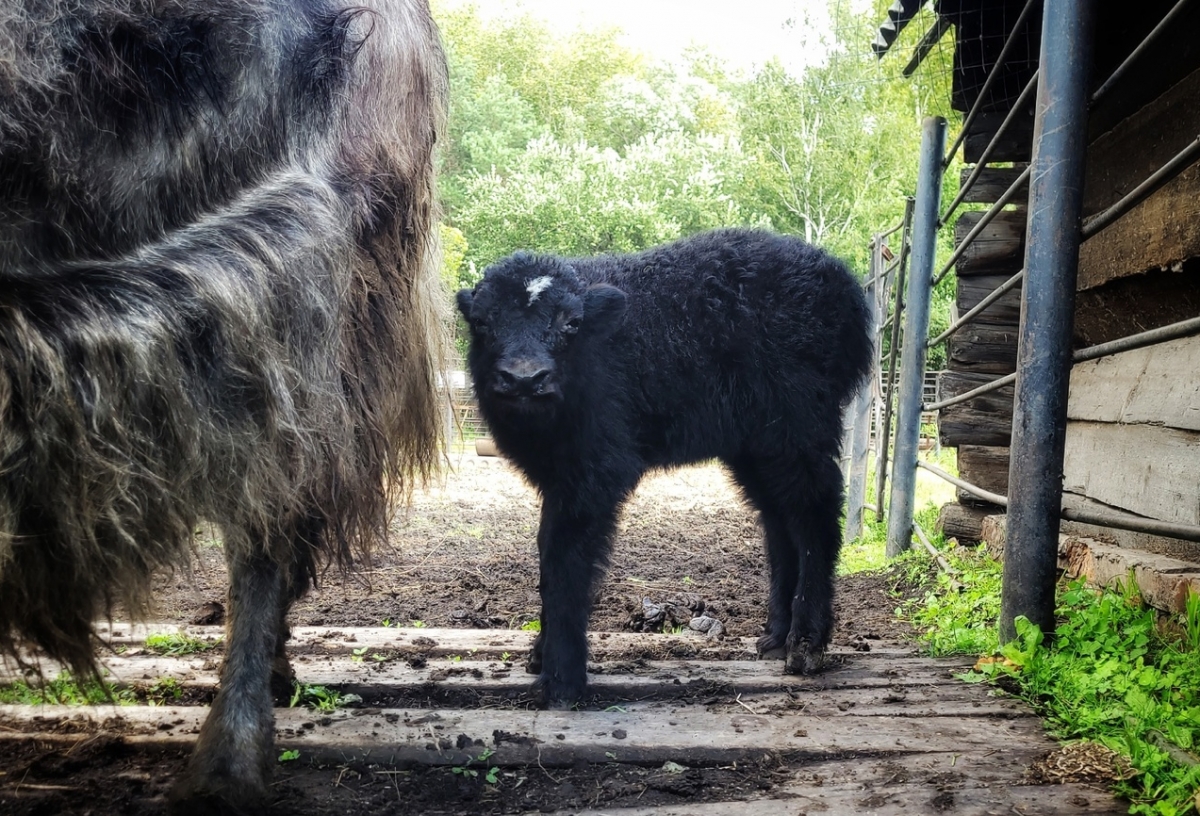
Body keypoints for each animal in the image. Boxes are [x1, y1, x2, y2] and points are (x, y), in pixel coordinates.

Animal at [458, 229, 873, 705]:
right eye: (483, 323)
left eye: (571, 323)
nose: (525, 378)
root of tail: (844, 286)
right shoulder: (560, 480)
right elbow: (547, 554)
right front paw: (540, 656)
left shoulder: (596, 472)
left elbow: (565, 562)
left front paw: (560, 681)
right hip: (757, 447)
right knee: (779, 520)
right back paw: (775, 638)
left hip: (799, 429)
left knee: (814, 518)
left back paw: (805, 644)